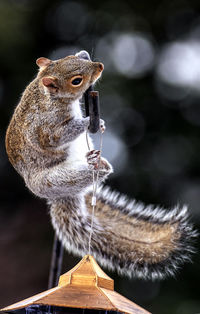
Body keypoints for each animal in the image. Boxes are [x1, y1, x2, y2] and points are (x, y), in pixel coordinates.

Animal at [5, 49, 196, 280]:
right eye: (76, 81)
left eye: (70, 58)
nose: (99, 66)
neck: (47, 95)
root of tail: (60, 196)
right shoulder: (47, 128)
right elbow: (56, 137)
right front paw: (87, 122)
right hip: (54, 180)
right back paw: (97, 164)